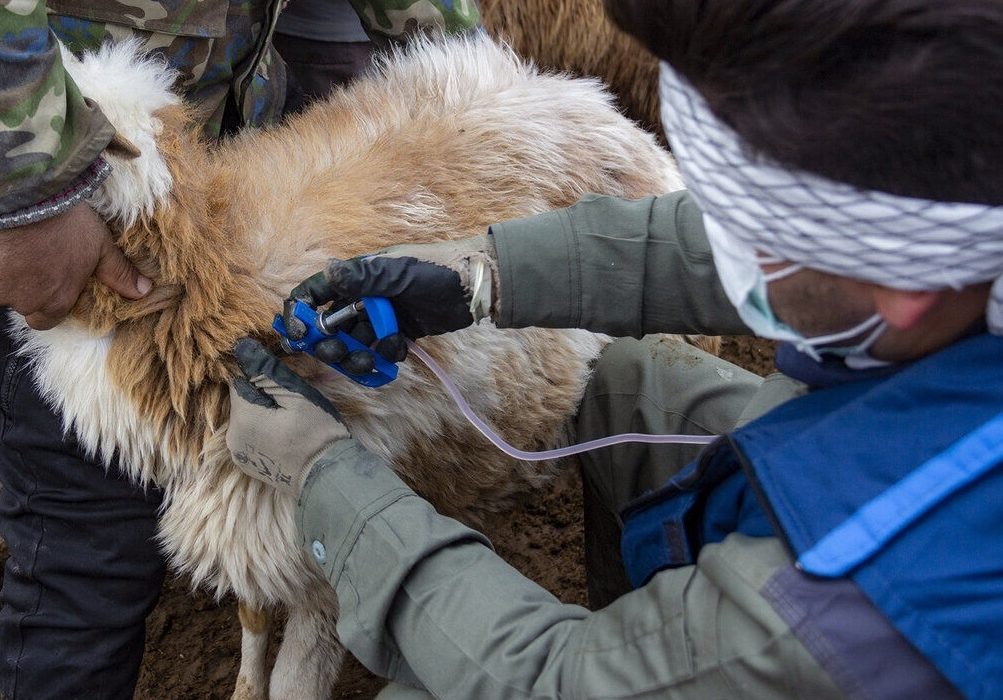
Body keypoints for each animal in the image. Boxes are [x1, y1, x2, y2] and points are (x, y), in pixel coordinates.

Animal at [11, 34, 698, 697]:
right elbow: (252, 623)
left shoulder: (316, 543)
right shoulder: (247, 523)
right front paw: (242, 686)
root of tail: (600, 107)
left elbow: (296, 680)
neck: (203, 276)